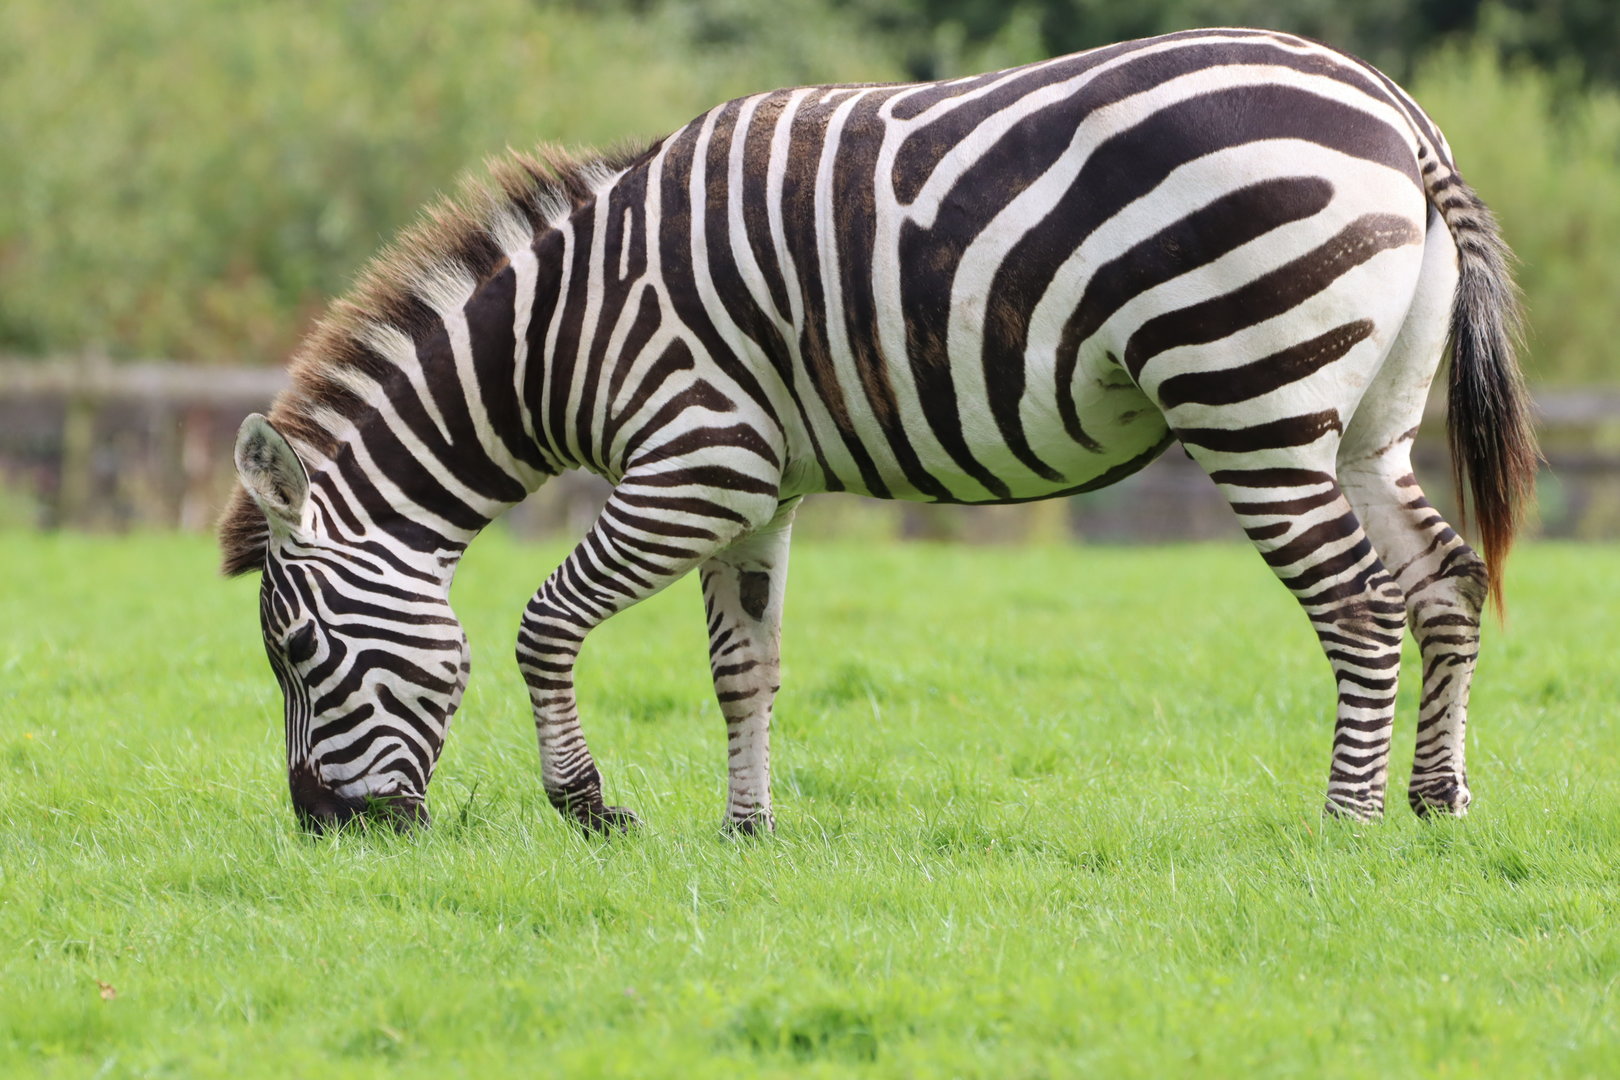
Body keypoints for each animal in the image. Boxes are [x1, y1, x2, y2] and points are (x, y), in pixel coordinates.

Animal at [220, 27, 1537, 835]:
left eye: (297, 652)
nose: (328, 830)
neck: (567, 331)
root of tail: (1398, 111)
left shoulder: (697, 463)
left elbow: (544, 625)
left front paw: (591, 808)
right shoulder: (759, 492)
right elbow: (743, 664)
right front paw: (746, 830)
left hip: (1251, 394)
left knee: (1358, 605)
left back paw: (1344, 824)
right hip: (1362, 427)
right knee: (1444, 579)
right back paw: (1439, 801)